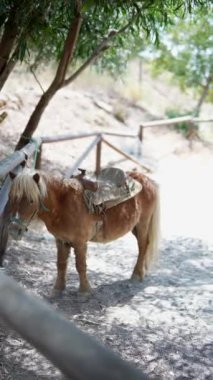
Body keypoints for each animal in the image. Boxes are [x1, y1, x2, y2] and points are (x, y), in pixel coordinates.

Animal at [6, 170, 160, 294]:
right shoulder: (61, 240)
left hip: (143, 224)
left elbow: (80, 266)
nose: (13, 230)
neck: (62, 204)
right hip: (134, 227)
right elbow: (61, 264)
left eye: (31, 200)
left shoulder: (80, 243)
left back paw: (137, 275)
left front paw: (84, 291)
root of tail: (147, 180)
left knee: (143, 246)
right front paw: (58, 289)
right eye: (12, 197)